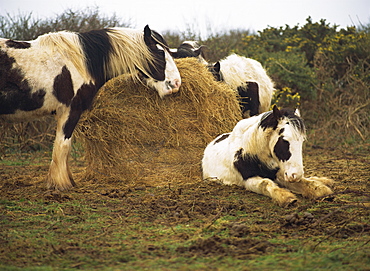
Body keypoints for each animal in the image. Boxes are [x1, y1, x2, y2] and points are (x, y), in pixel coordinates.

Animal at [0, 25, 182, 191]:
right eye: (160, 53)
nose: (176, 83)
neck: (79, 62)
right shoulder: (70, 111)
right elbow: (62, 146)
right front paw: (61, 184)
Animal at [201, 105, 334, 207]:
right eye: (284, 140)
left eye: (302, 141)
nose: (295, 175)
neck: (248, 152)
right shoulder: (248, 180)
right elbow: (265, 183)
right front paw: (286, 197)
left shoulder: (280, 174)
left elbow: (305, 182)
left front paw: (322, 190)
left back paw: (326, 180)